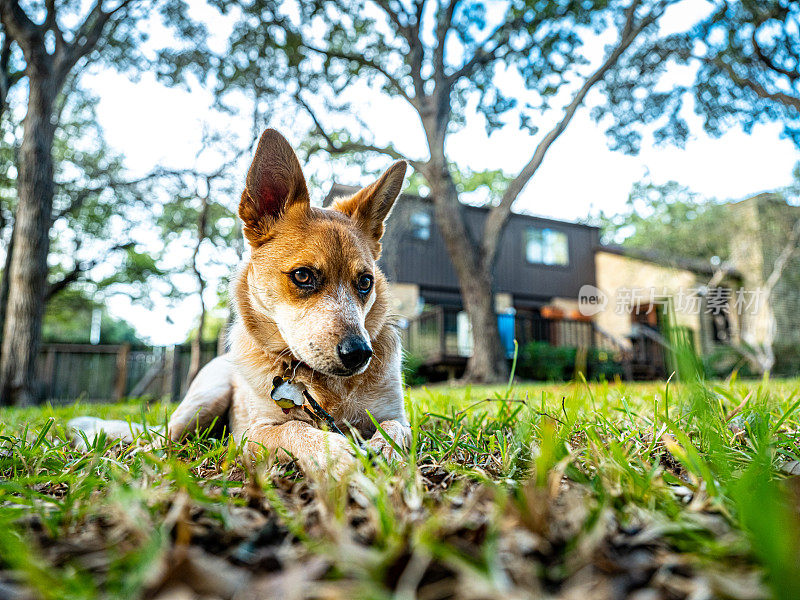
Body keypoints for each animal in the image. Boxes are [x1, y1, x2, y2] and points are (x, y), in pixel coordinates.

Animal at [166, 129, 410, 476]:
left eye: (365, 282)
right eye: (303, 276)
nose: (359, 353)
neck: (324, 386)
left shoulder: (396, 415)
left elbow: (394, 429)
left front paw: (386, 451)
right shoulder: (255, 433)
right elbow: (293, 428)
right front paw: (332, 453)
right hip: (201, 403)